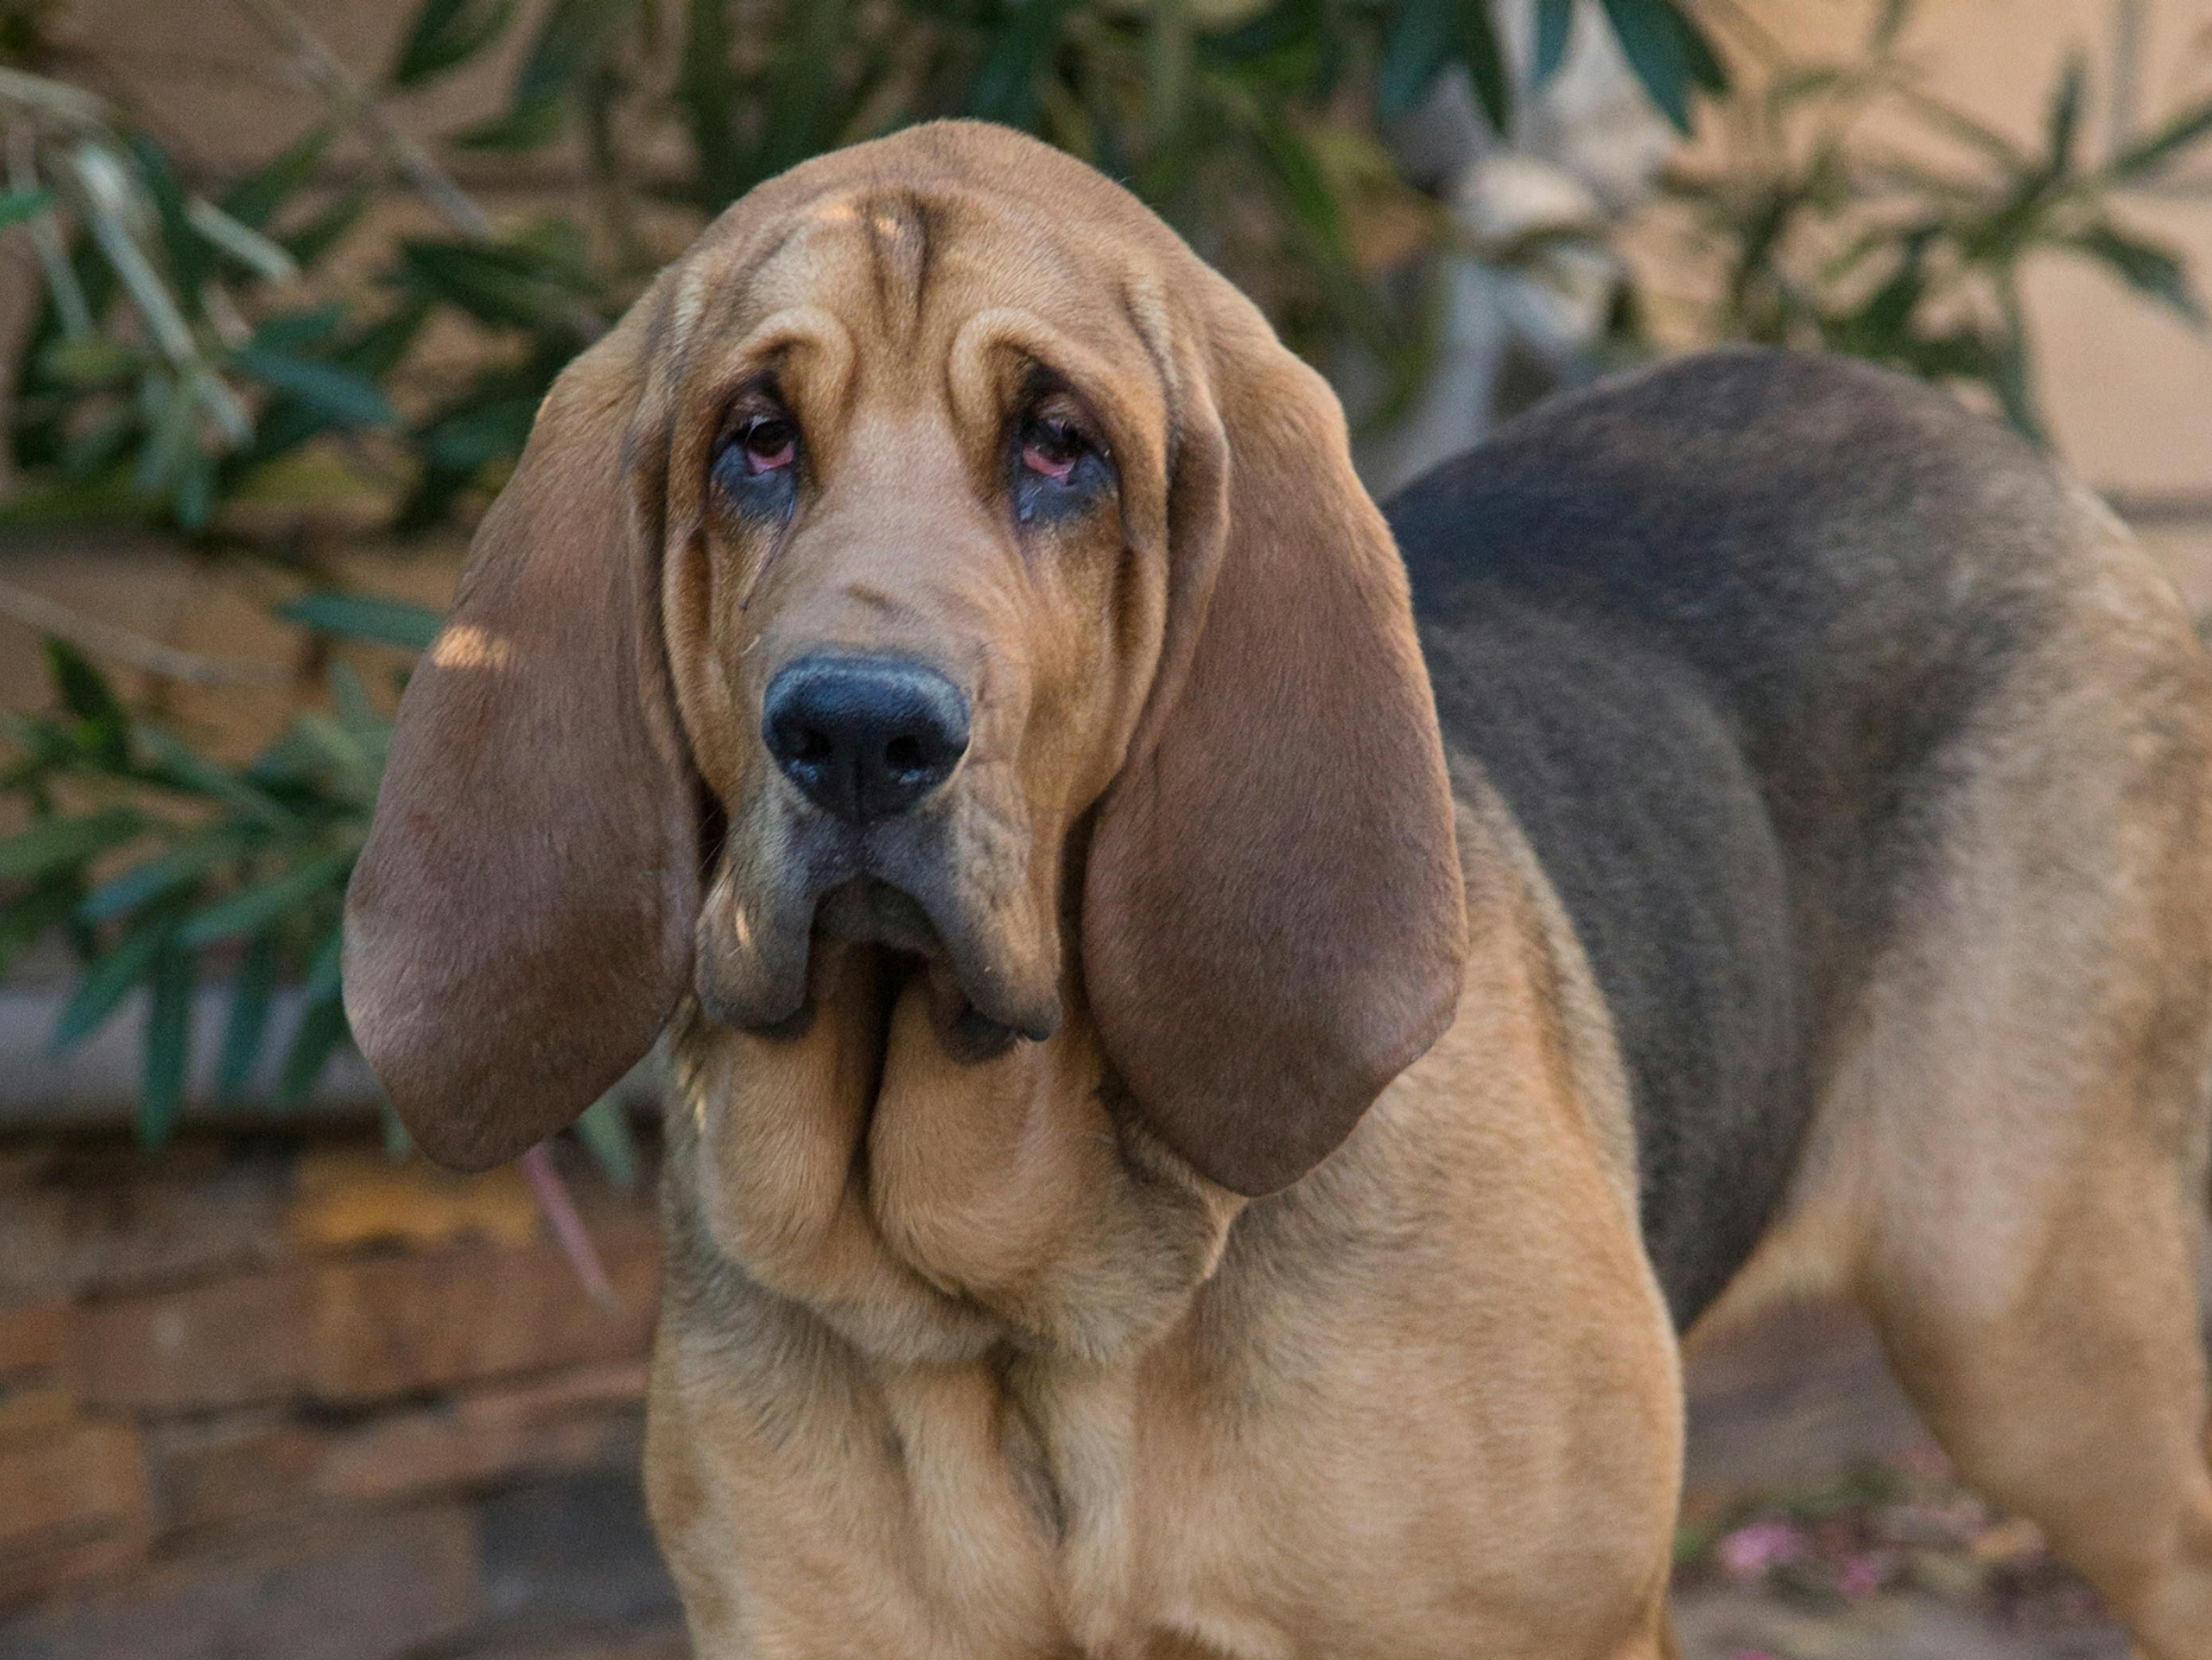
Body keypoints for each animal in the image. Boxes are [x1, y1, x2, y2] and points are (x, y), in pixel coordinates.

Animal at [336, 120, 2212, 1660]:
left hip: (2042, 1357)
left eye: (1061, 446)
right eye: (751, 439)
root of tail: (2005, 456)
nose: (859, 732)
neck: (1030, 1311)